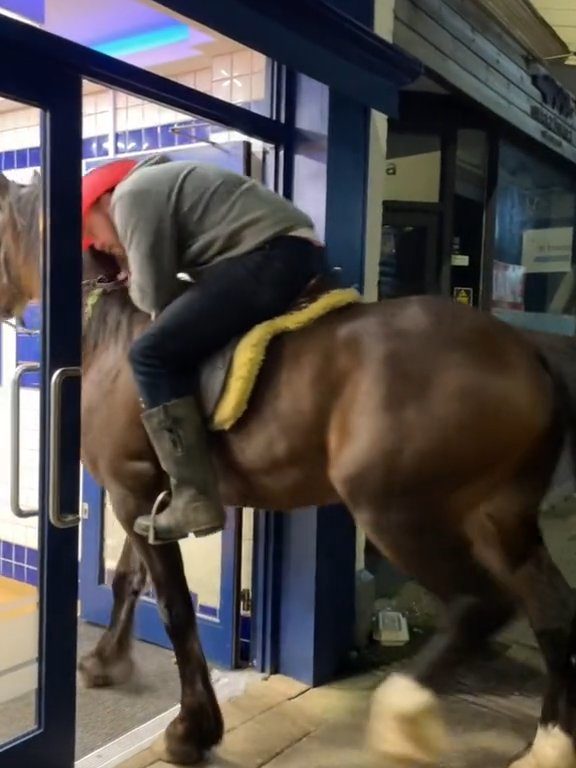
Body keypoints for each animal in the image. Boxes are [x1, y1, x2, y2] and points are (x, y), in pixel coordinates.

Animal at [1, 171, 576, 764]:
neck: (113, 335)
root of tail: (527, 353)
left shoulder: (129, 487)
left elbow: (175, 606)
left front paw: (192, 729)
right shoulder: (146, 497)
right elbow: (128, 580)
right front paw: (106, 662)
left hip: (399, 513)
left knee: (478, 606)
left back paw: (403, 715)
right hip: (497, 515)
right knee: (551, 608)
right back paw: (550, 742)